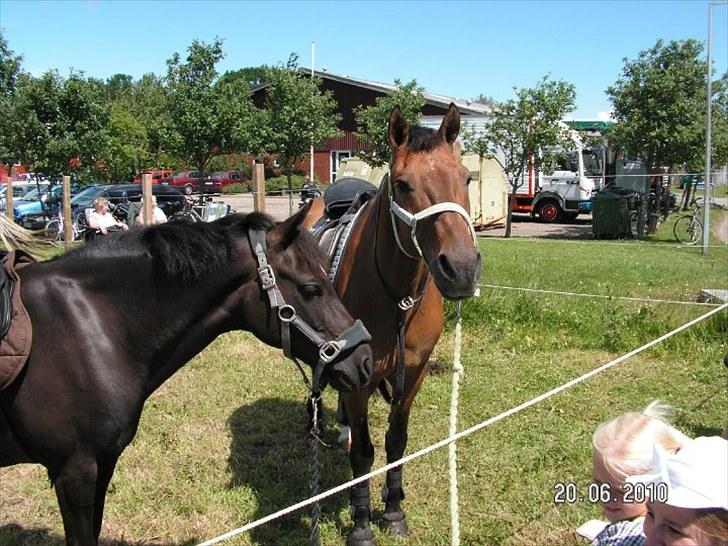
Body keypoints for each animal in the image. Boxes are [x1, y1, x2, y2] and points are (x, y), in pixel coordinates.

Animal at [302, 104, 484, 540]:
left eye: (466, 178)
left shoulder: (413, 372)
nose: (462, 270)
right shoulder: (360, 378)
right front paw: (361, 523)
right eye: (402, 185)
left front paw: (394, 511)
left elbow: (397, 441)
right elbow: (364, 453)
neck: (396, 296)